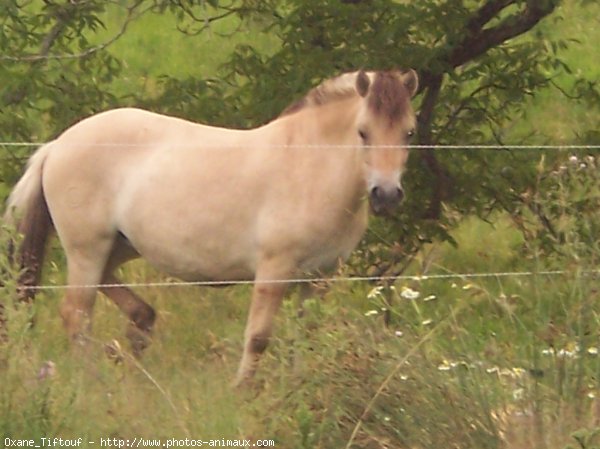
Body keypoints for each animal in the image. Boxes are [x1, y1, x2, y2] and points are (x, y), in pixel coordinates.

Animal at [5, 69, 418, 382]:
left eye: (409, 132)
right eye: (363, 132)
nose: (386, 195)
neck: (309, 164)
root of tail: (56, 145)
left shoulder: (318, 278)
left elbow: (309, 337)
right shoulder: (274, 270)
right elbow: (258, 338)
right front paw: (243, 392)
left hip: (120, 245)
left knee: (109, 290)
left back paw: (139, 330)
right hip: (86, 248)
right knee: (77, 314)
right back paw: (90, 379)